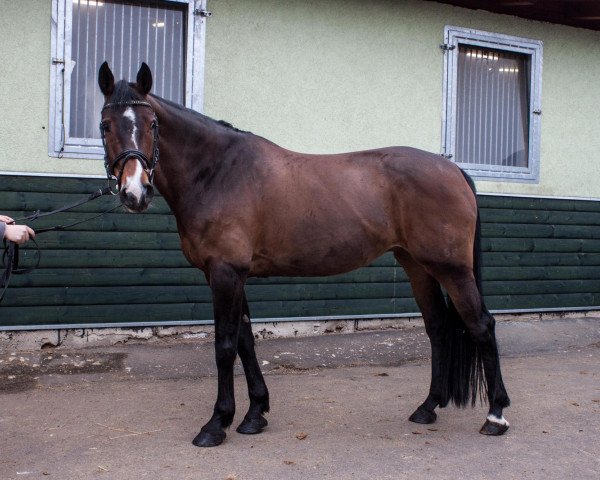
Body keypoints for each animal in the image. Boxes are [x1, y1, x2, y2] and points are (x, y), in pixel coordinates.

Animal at [96, 62, 508, 446]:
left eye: (152, 124)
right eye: (105, 125)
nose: (135, 193)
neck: (218, 172)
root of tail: (452, 168)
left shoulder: (225, 273)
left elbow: (225, 345)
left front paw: (216, 424)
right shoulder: (234, 274)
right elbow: (246, 341)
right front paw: (255, 414)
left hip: (452, 269)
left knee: (481, 325)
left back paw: (496, 416)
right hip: (418, 265)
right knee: (437, 327)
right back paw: (427, 407)